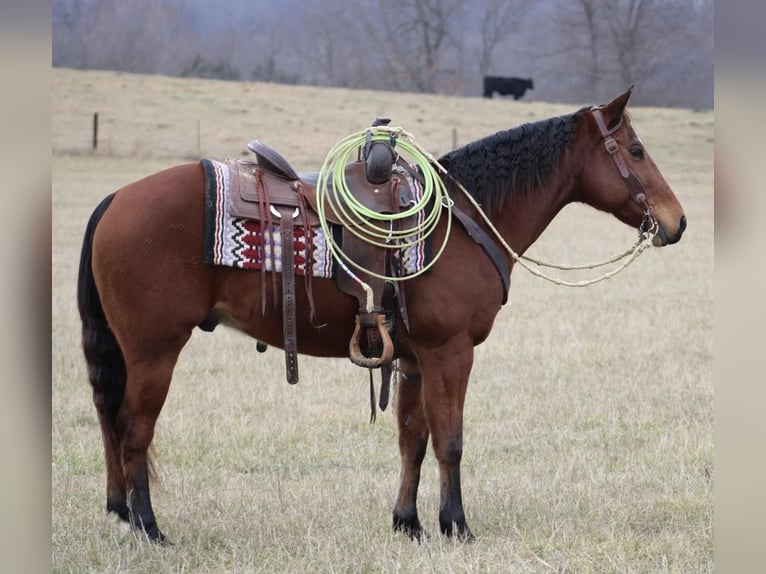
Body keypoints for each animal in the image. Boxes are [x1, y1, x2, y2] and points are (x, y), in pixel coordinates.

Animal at [78, 86, 688, 544]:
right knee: (134, 427)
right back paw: (149, 528)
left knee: (113, 421)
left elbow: (413, 438)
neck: (460, 222)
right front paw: (457, 526)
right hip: (155, 349)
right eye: (635, 151)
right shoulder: (450, 352)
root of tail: (115, 199)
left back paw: (123, 514)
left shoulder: (415, 360)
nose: (677, 221)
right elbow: (450, 439)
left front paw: (409, 523)